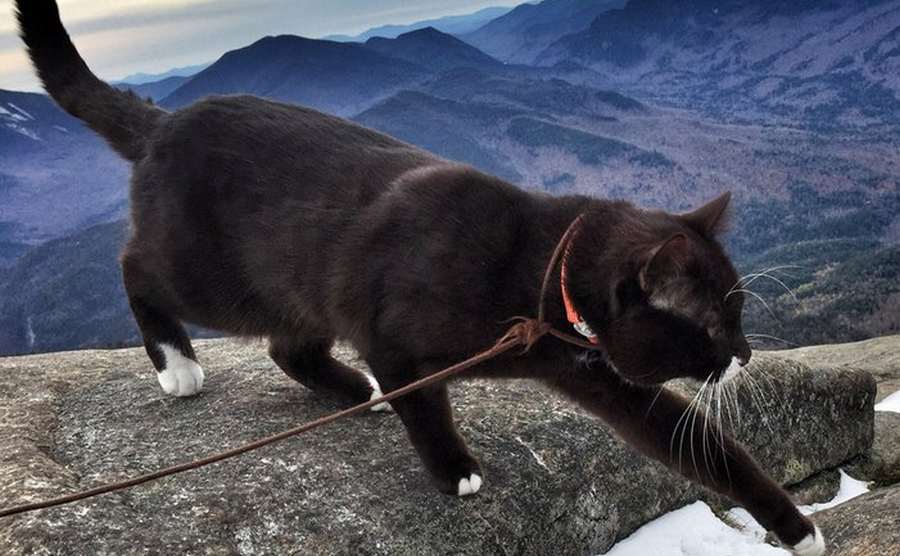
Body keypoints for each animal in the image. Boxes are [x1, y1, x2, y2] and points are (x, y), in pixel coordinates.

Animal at [17, 2, 824, 552]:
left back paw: (354, 391)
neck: (540, 273)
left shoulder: (604, 373)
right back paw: (178, 365)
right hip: (220, 278)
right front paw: (454, 468)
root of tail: (163, 123)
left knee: (289, 347)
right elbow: (424, 400)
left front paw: (796, 527)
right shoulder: (392, 331)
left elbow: (706, 447)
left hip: (299, 290)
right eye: (712, 324)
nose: (746, 353)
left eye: (738, 315)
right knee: (138, 267)